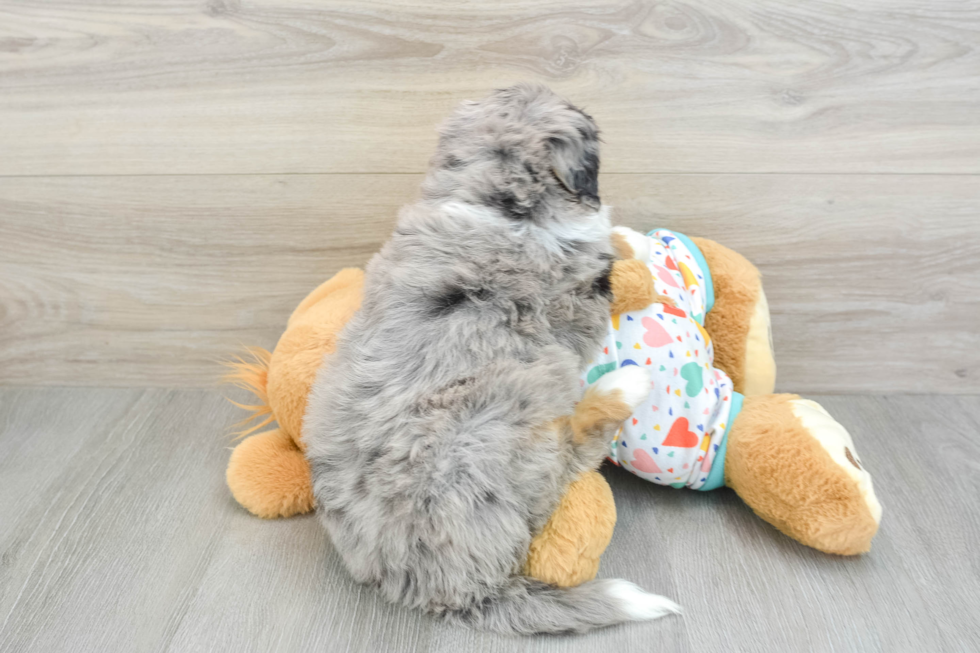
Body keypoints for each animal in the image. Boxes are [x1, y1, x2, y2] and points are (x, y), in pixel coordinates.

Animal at [302, 84, 676, 636]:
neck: (496, 203)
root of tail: (451, 592)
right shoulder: (575, 295)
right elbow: (605, 264)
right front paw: (636, 248)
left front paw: (633, 238)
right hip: (501, 425)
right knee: (568, 460)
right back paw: (622, 387)